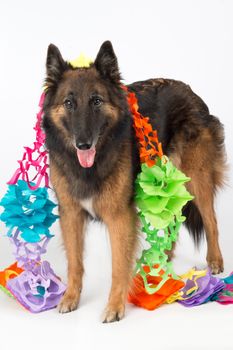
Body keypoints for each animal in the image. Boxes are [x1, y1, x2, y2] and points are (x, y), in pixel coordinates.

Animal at [41, 39, 226, 322]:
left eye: (96, 101)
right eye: (69, 103)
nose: (83, 144)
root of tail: (192, 94)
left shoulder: (119, 217)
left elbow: (118, 266)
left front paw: (115, 307)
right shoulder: (70, 214)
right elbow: (75, 263)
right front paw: (71, 298)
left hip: (196, 180)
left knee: (211, 221)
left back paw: (214, 261)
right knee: (172, 225)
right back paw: (162, 263)